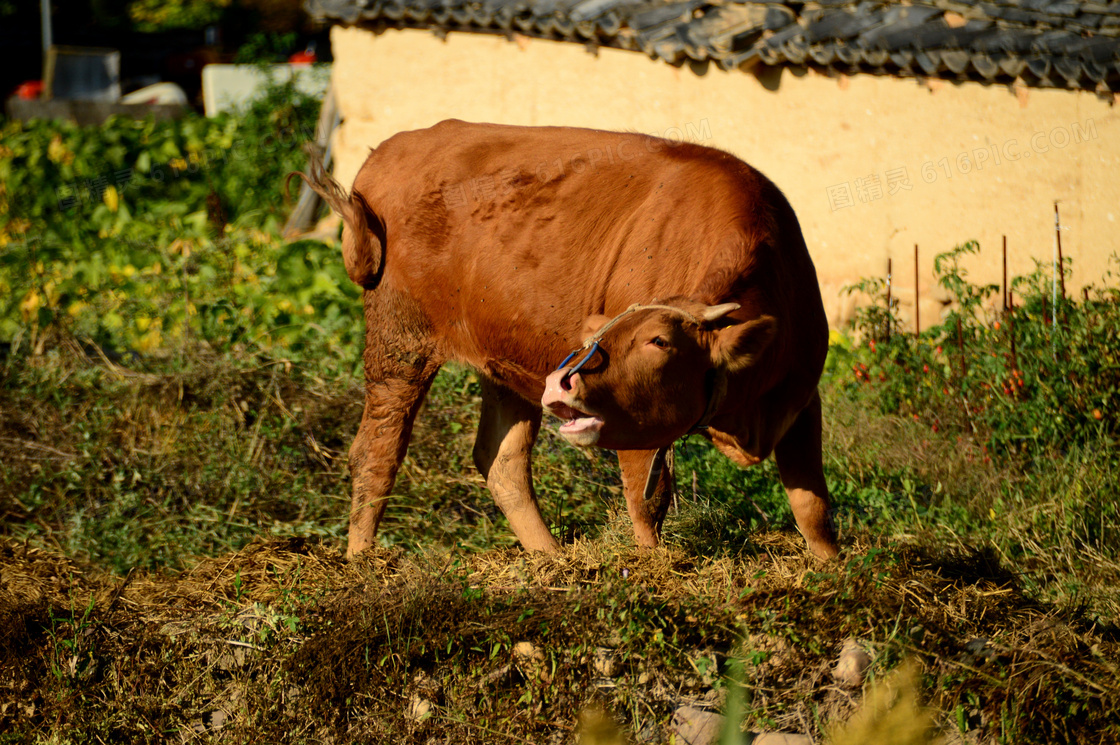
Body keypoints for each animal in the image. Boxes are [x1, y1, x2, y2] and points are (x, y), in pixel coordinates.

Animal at [297, 119, 842, 557]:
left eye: (659, 341)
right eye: (601, 332)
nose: (563, 381)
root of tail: (396, 146)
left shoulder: (800, 398)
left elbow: (813, 506)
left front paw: (831, 570)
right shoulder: (631, 422)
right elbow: (646, 503)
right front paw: (654, 571)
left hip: (505, 358)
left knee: (502, 461)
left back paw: (553, 562)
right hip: (400, 341)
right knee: (378, 451)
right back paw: (361, 561)